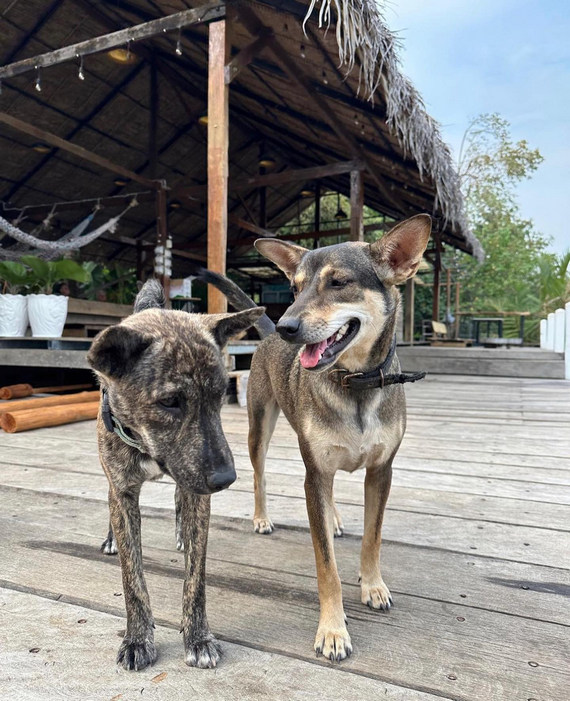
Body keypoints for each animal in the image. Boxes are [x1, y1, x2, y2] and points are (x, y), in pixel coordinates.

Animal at [87, 278, 264, 668]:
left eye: (221, 394)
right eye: (169, 402)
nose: (225, 480)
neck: (145, 444)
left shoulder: (198, 492)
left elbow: (195, 580)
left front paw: (198, 638)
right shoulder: (122, 491)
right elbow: (132, 578)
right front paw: (137, 639)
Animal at [197, 213, 428, 660]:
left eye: (338, 282)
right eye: (295, 287)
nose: (287, 325)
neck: (355, 382)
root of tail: (265, 333)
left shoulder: (381, 471)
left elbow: (372, 538)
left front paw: (373, 586)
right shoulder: (314, 475)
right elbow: (327, 566)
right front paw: (333, 629)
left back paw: (335, 520)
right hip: (260, 427)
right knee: (259, 475)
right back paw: (262, 517)